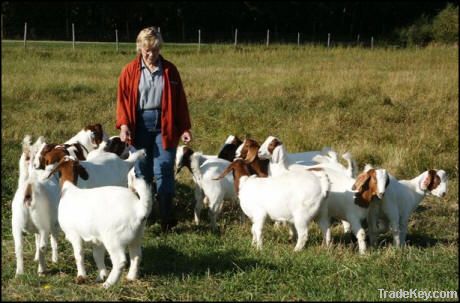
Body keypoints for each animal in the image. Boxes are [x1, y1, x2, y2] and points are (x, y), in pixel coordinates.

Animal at [48, 158, 153, 288]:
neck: (69, 190)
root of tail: (138, 208)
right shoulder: (97, 239)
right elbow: (97, 256)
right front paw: (101, 276)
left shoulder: (74, 235)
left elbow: (79, 255)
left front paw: (81, 276)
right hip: (136, 236)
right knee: (137, 256)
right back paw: (130, 277)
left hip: (113, 238)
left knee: (120, 261)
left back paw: (108, 284)